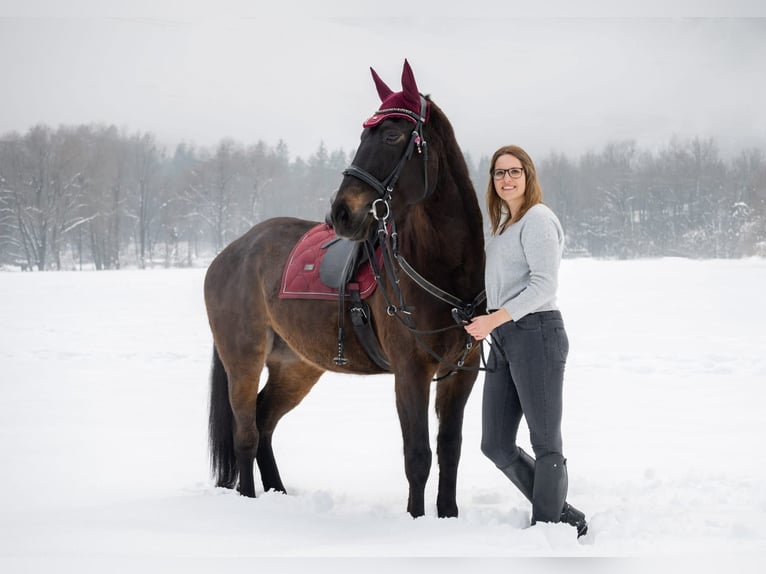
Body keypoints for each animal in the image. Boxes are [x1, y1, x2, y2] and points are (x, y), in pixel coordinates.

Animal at [206, 60, 486, 520]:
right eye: (362, 136)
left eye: (392, 135)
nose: (341, 212)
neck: (444, 268)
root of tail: (231, 252)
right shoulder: (410, 372)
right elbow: (418, 456)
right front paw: (416, 519)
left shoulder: (460, 371)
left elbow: (449, 449)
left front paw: (447, 516)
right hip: (243, 360)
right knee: (245, 431)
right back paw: (250, 500)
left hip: (296, 366)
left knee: (264, 422)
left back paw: (279, 492)